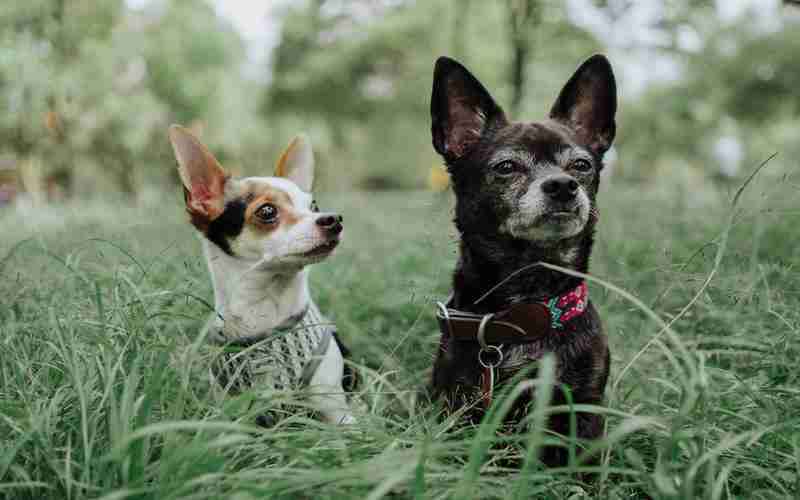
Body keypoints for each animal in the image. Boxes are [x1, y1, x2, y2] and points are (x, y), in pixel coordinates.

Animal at [170, 126, 356, 426]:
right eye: (267, 211)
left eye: (314, 206)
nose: (334, 219)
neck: (263, 307)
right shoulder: (232, 414)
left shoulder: (336, 412)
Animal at [428, 52, 616, 466]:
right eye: (506, 167)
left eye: (581, 165)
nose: (562, 185)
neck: (528, 305)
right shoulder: (458, 408)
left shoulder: (585, 412)